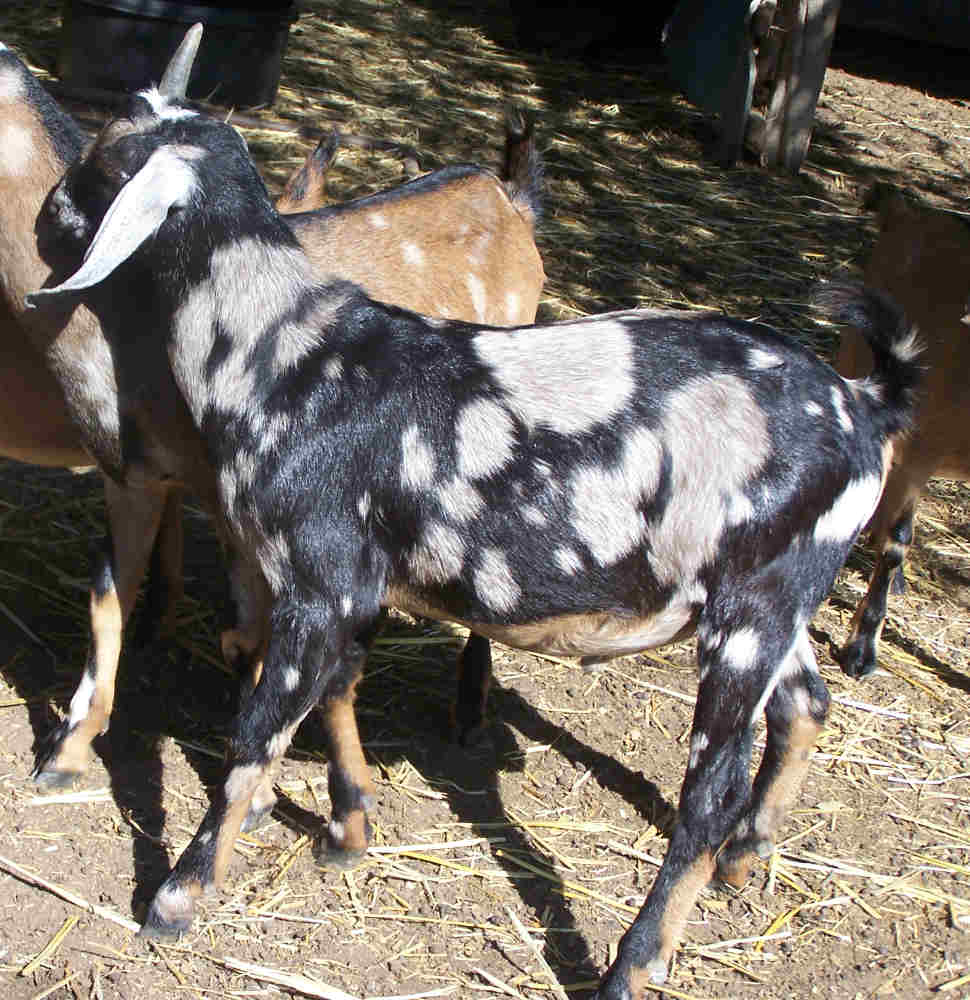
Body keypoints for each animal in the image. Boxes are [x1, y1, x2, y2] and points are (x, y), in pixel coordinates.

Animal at [30, 76, 920, 992]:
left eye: (107, 161)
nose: (44, 222)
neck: (285, 353)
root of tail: (865, 403)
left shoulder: (317, 581)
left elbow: (258, 738)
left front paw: (178, 896)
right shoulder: (358, 586)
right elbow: (340, 690)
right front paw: (349, 829)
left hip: (751, 618)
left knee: (708, 798)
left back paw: (633, 964)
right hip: (775, 600)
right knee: (806, 707)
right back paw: (749, 855)